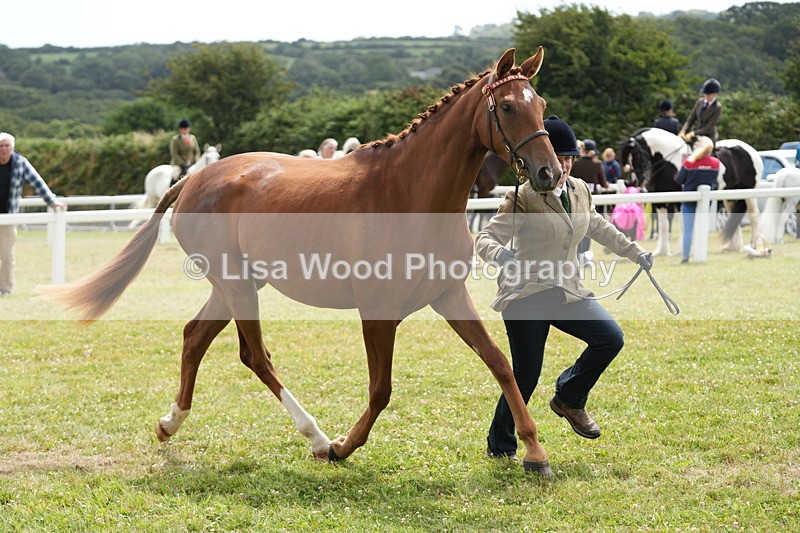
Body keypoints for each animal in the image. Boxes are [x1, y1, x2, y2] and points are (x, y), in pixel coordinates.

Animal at [41, 48, 562, 476]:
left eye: (540, 105)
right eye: (508, 107)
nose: (548, 174)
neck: (409, 192)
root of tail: (192, 181)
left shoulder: (448, 295)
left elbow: (501, 364)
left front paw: (535, 452)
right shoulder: (377, 313)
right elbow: (381, 389)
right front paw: (342, 446)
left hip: (235, 286)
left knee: (194, 337)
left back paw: (171, 423)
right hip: (237, 286)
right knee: (254, 355)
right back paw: (314, 437)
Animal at [620, 128, 762, 255]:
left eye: (637, 154)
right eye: (628, 159)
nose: (634, 182)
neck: (670, 162)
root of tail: (752, 151)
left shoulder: (682, 199)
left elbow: (684, 224)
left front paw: (682, 250)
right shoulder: (661, 201)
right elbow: (663, 225)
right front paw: (662, 251)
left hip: (749, 192)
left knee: (754, 216)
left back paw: (753, 245)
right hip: (729, 195)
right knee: (734, 215)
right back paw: (731, 247)